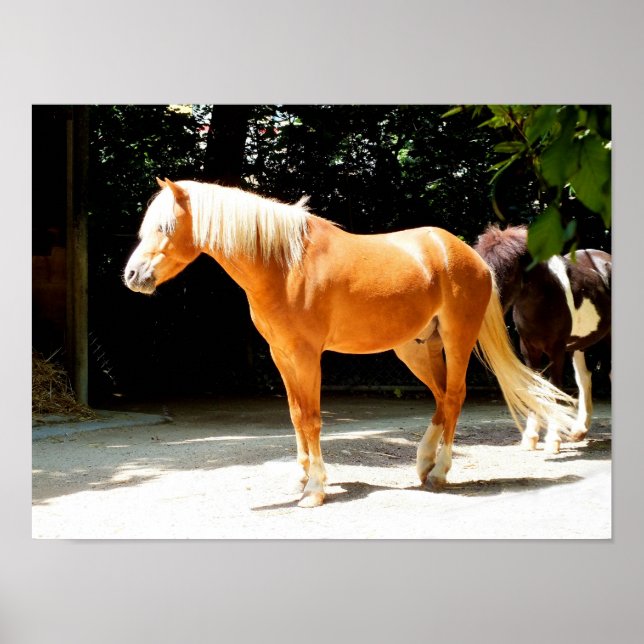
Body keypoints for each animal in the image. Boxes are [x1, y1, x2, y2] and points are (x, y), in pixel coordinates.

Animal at [124, 178, 579, 507]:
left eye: (165, 228)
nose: (132, 275)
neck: (284, 265)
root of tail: (468, 255)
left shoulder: (308, 356)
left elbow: (311, 418)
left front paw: (315, 490)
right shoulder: (281, 355)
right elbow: (295, 416)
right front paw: (301, 477)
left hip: (456, 340)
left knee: (454, 396)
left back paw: (440, 471)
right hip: (416, 348)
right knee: (441, 397)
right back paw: (423, 463)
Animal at [474, 224, 611, 453]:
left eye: (508, 273)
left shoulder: (556, 350)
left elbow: (555, 388)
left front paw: (553, 440)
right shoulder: (529, 349)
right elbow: (535, 388)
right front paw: (531, 438)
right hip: (579, 345)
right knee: (584, 378)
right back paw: (579, 431)